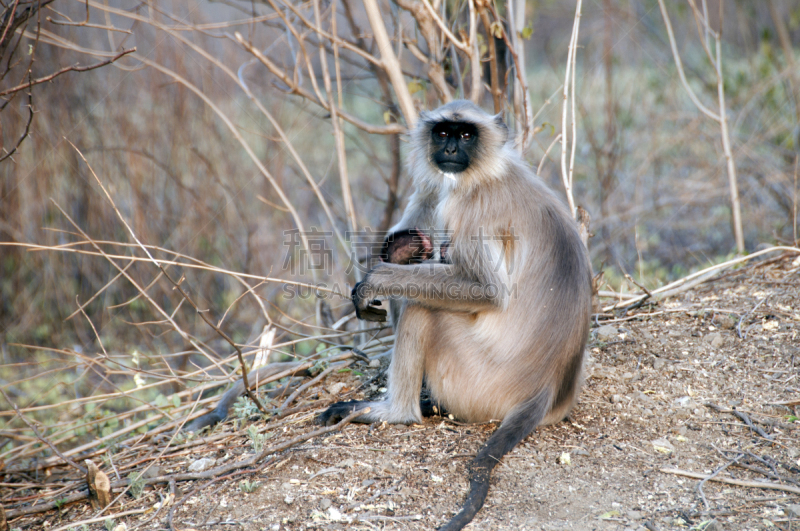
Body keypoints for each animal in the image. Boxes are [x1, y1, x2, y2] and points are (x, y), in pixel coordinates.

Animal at [320, 101, 592, 531]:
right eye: (443, 133)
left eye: (465, 135)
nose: (449, 149)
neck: (488, 171)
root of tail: (545, 389)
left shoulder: (471, 206)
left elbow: (488, 290)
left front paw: (376, 279)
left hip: (478, 380)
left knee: (422, 306)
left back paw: (397, 412)